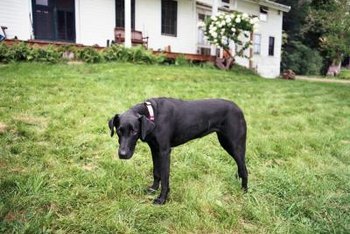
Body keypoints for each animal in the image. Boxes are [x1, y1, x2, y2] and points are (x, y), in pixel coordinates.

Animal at [108, 98, 247, 204]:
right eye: (119, 130)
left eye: (134, 131)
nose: (122, 154)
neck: (153, 115)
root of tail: (238, 108)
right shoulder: (154, 149)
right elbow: (156, 172)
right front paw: (153, 189)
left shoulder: (164, 152)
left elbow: (165, 178)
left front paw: (162, 199)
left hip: (234, 145)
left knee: (244, 169)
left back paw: (244, 192)